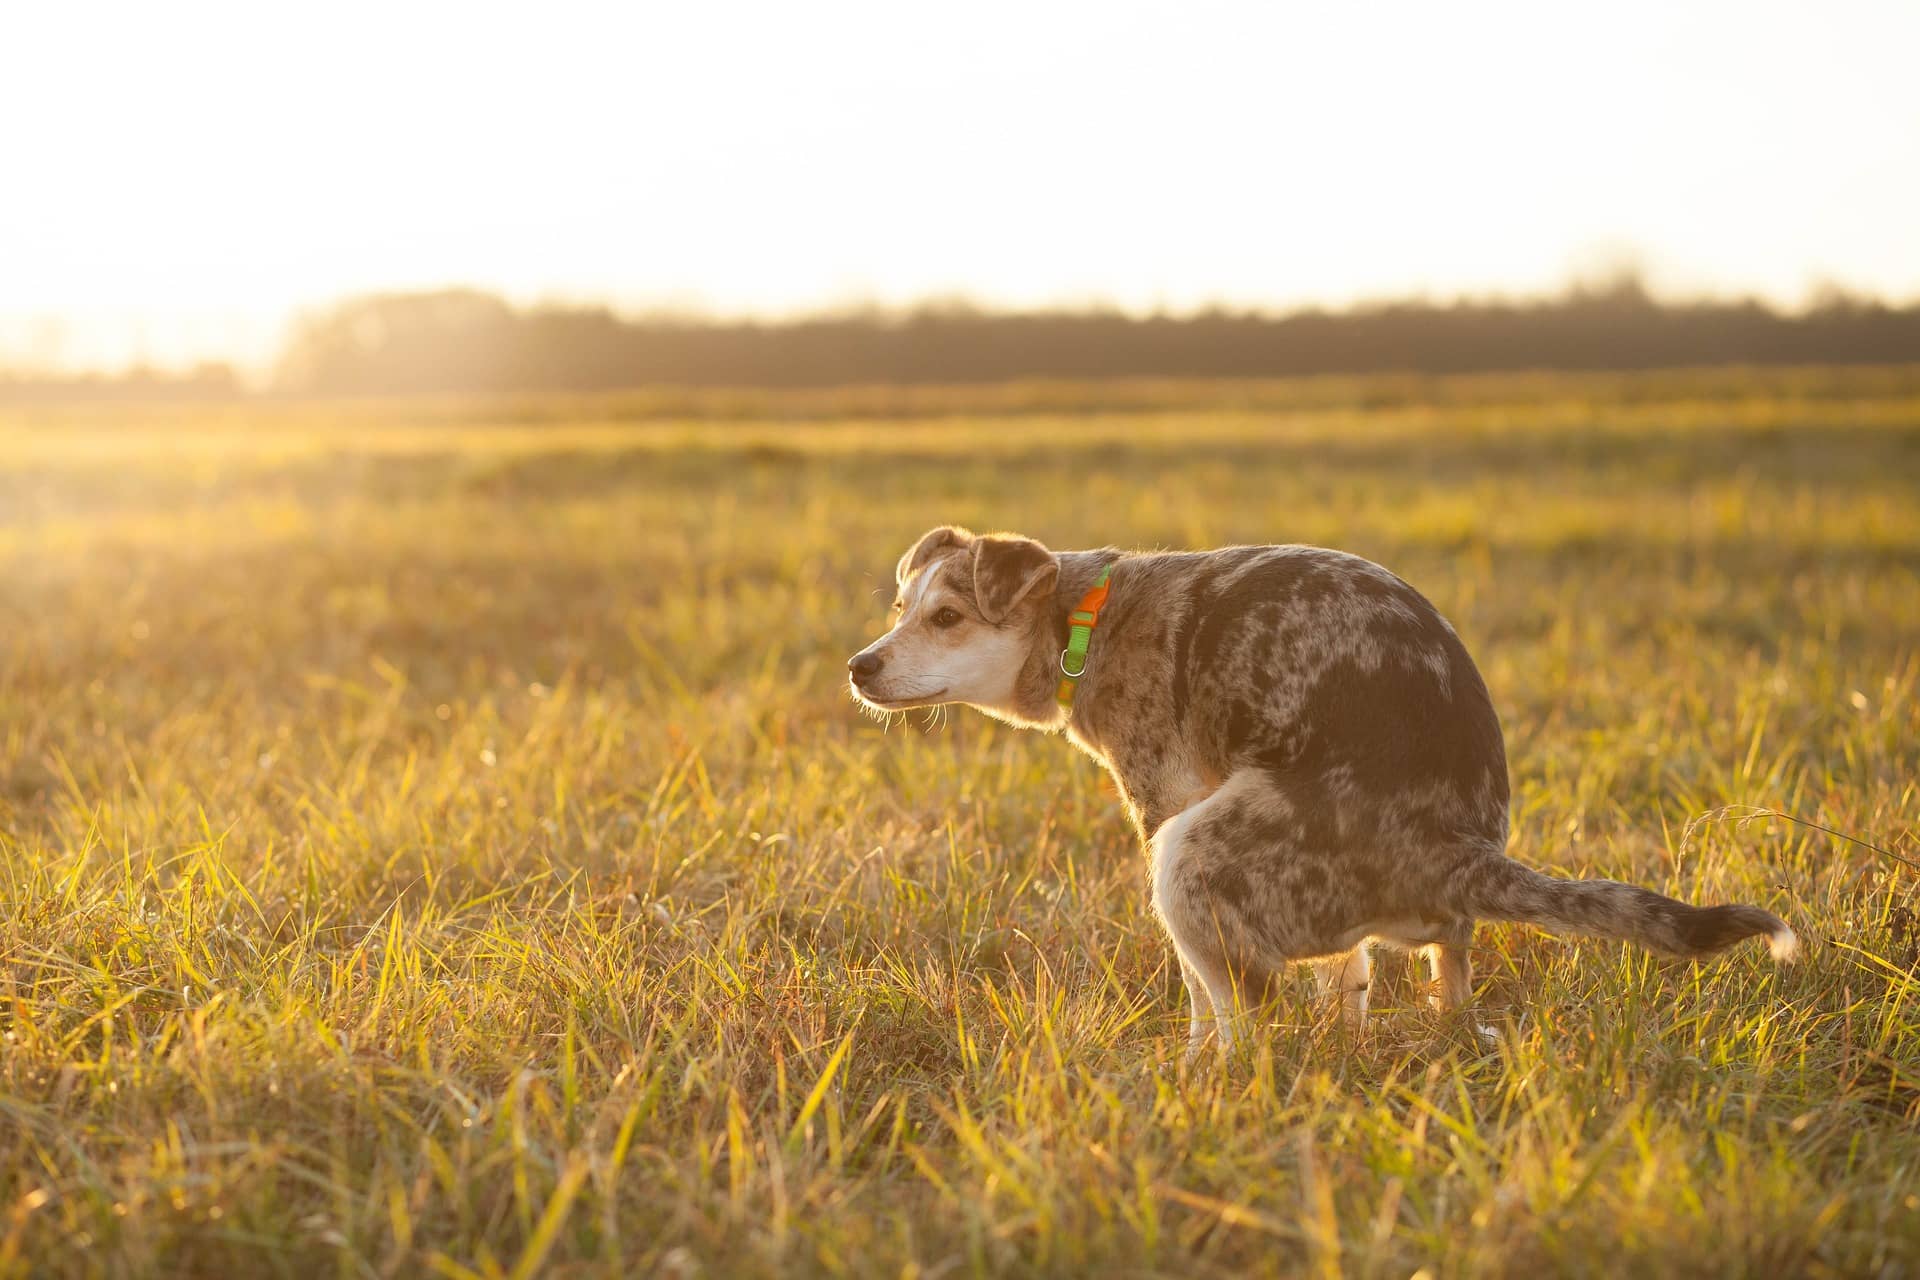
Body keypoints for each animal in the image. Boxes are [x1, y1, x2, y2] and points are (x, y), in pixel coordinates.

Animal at [848, 525, 1789, 1059]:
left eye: (946, 619)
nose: (858, 666)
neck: (1086, 618)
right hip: (1408, 920)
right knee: (1444, 970)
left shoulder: (1163, 805)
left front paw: (1191, 1065)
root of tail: (1459, 850)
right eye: (898, 609)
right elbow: (1351, 976)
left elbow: (1201, 996)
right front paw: (1347, 1031)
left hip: (1189, 853)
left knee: (1248, 1015)